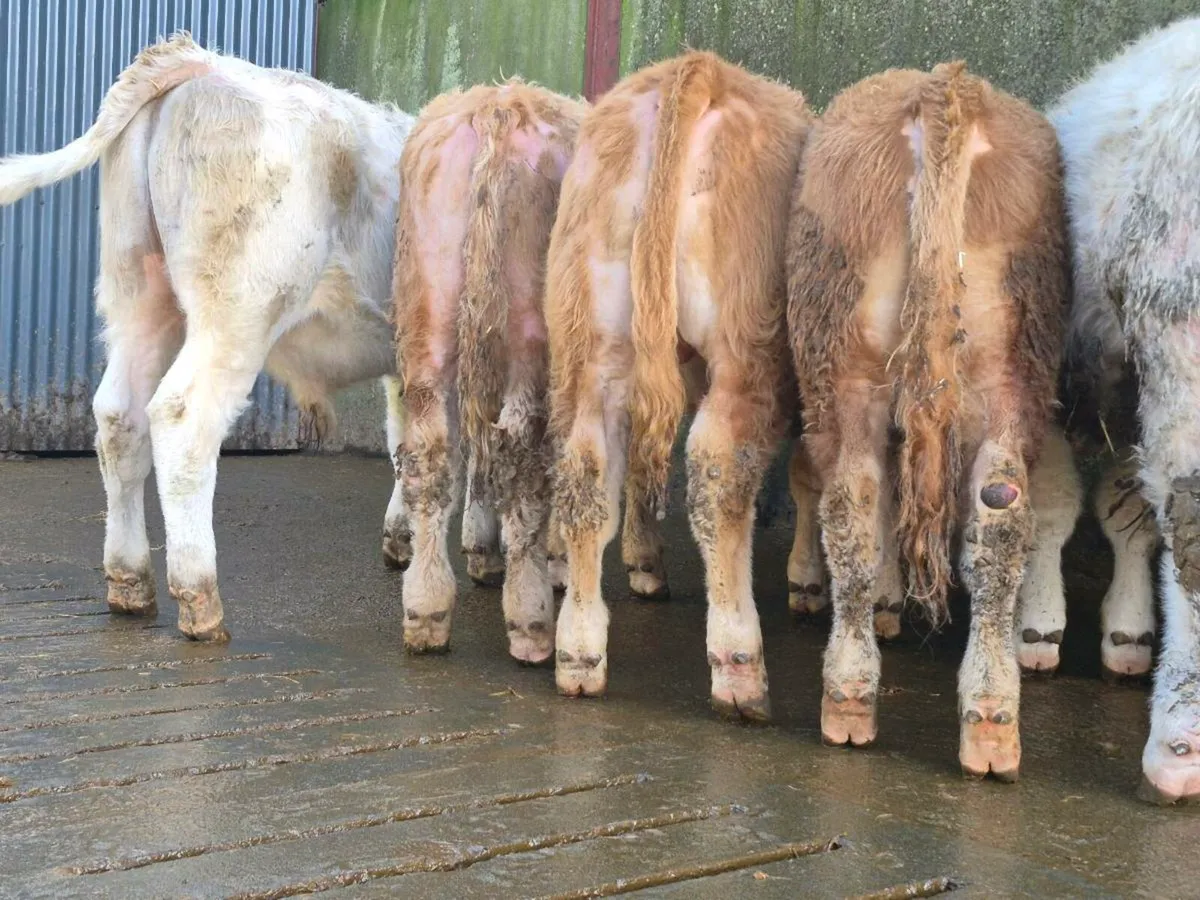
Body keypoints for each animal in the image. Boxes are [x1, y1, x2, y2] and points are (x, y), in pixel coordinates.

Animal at [0, 34, 414, 641]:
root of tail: (201, 60)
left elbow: (408, 439)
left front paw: (405, 539)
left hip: (139, 290)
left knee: (119, 415)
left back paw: (129, 582)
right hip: (240, 307)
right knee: (182, 417)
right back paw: (200, 598)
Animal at [391, 81, 586, 662]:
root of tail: (498, 106)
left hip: (430, 307)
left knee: (432, 456)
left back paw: (426, 607)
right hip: (529, 327)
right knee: (521, 456)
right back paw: (530, 615)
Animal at [545, 51, 812, 720]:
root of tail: (697, 68)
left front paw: (645, 560)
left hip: (596, 340)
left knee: (588, 472)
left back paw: (579, 652)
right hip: (747, 345)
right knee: (717, 471)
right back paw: (739, 668)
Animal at [787, 62, 1069, 781]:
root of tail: (943, 90)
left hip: (846, 372)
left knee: (857, 506)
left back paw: (853, 701)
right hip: (1009, 373)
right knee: (995, 519)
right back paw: (988, 721)